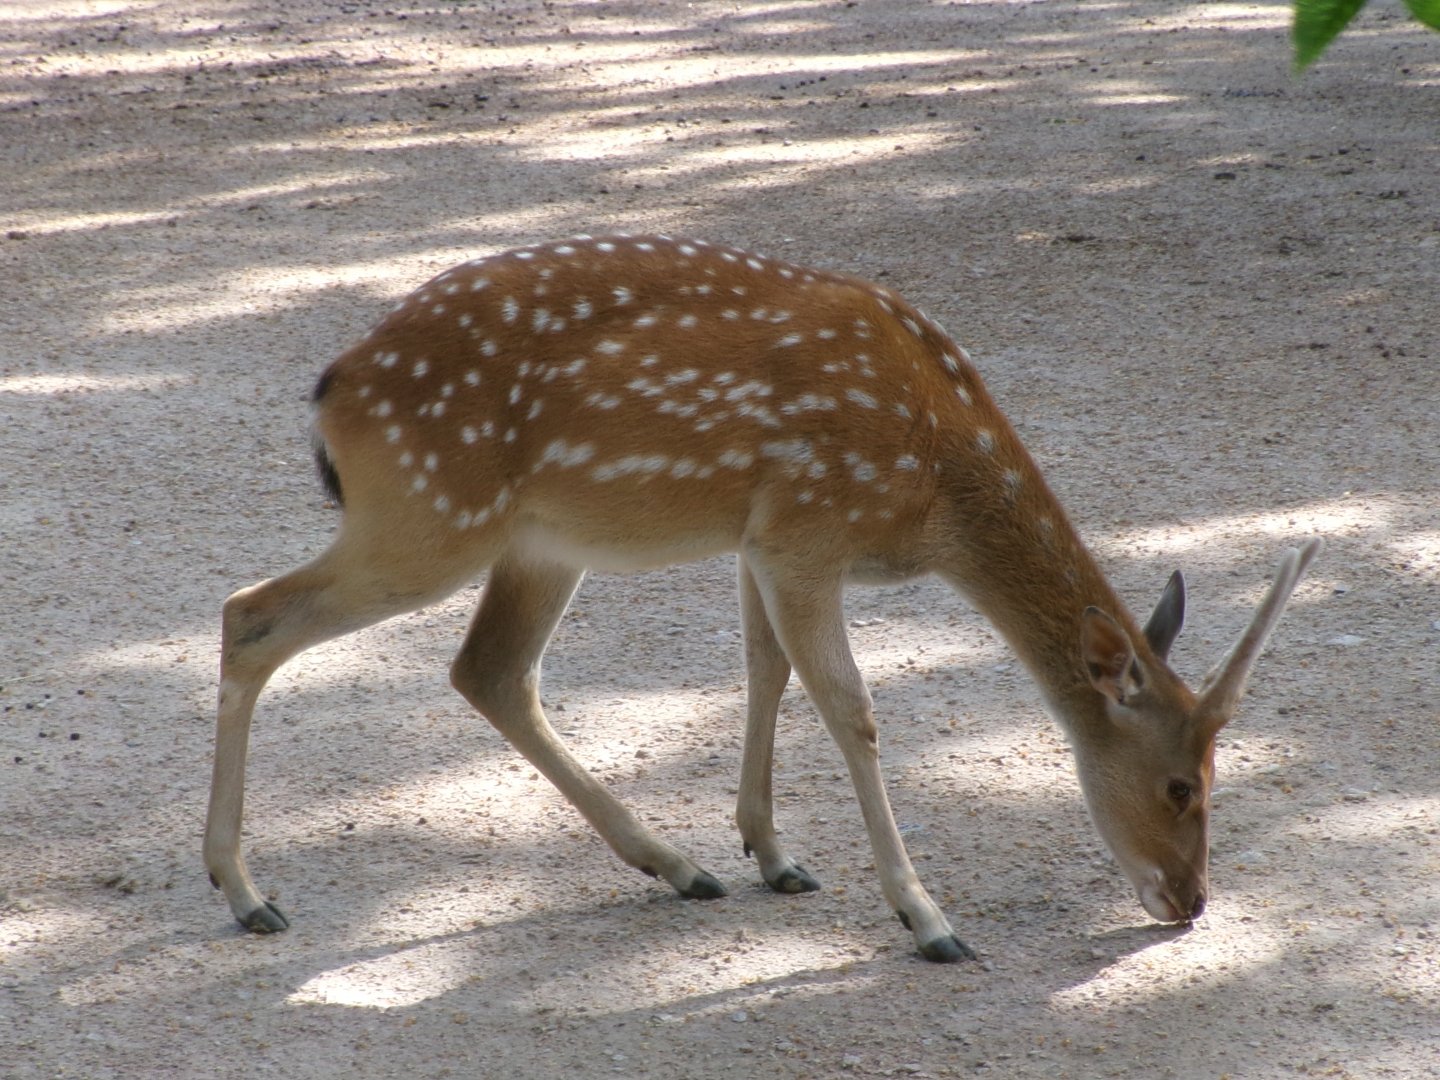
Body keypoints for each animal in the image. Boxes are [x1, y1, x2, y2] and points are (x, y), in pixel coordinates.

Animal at [204, 233, 1321, 962]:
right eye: (1182, 787)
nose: (1191, 901)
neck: (934, 485)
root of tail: (332, 394)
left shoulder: (761, 537)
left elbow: (766, 669)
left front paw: (773, 853)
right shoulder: (807, 527)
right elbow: (852, 709)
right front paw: (928, 919)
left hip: (536, 540)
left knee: (489, 670)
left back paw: (678, 865)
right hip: (430, 515)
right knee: (249, 614)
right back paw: (246, 893)